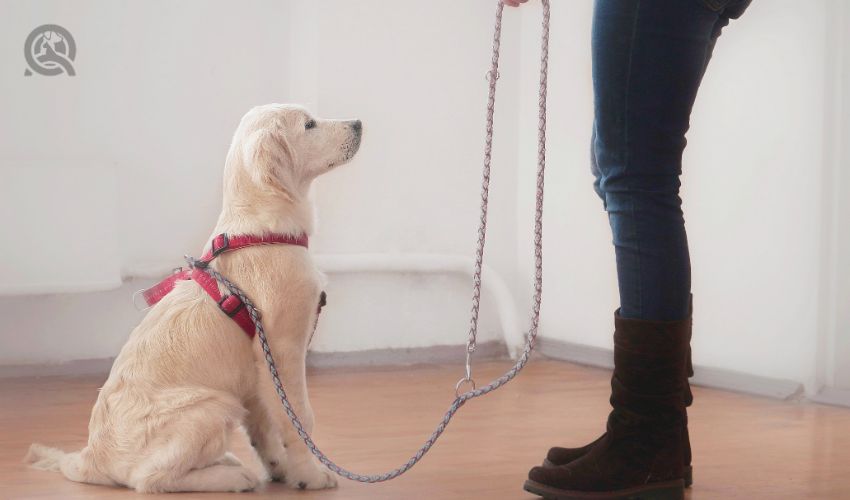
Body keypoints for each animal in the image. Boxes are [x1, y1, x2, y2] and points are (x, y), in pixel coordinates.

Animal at [24, 104, 362, 492]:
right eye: (309, 124)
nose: (358, 123)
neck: (262, 232)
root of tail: (90, 458)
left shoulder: (255, 372)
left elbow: (263, 425)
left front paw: (281, 467)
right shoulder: (282, 350)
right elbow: (299, 418)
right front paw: (310, 474)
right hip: (212, 405)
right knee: (149, 479)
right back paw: (232, 475)